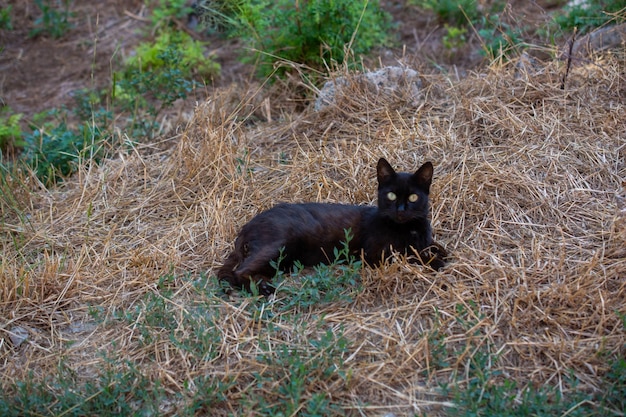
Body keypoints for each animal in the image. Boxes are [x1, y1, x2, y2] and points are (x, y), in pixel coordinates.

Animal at [217, 158, 446, 294]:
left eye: (413, 197)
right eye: (391, 195)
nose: (400, 209)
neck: (407, 228)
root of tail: (248, 225)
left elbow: (436, 247)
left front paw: (437, 252)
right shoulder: (377, 254)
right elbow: (411, 256)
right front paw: (434, 261)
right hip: (279, 245)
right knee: (240, 271)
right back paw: (264, 289)